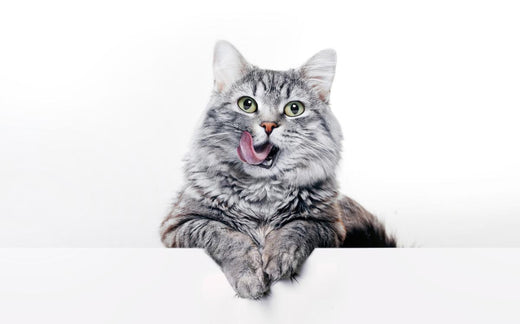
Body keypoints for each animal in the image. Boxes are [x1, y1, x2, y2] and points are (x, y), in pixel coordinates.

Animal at [160, 41, 396, 300]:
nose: (268, 125)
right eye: (247, 104)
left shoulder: (330, 227)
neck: (262, 192)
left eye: (294, 108)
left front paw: (279, 259)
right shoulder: (179, 224)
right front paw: (249, 277)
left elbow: (296, 229)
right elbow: (226, 235)